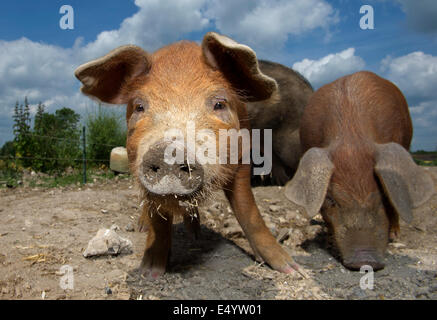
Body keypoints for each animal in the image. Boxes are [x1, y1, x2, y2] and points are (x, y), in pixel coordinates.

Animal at [75, 31, 300, 278]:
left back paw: (196, 234)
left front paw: (292, 269)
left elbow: (248, 210)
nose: (169, 151)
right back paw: (143, 227)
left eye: (219, 104)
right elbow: (158, 219)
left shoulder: (243, 158)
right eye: (139, 107)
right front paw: (149, 272)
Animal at [282, 70, 432, 270]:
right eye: (331, 200)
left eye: (384, 197)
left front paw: (393, 237)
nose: (365, 260)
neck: (352, 141)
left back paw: (395, 235)